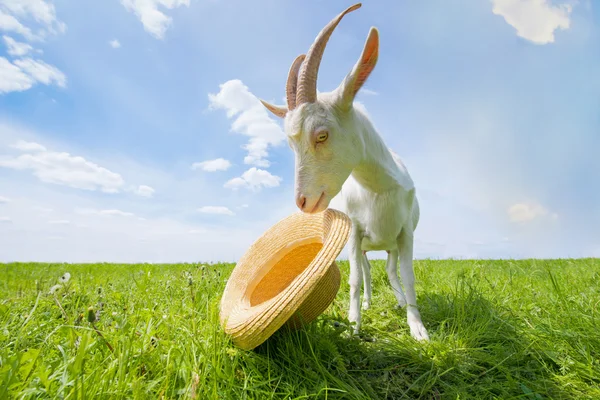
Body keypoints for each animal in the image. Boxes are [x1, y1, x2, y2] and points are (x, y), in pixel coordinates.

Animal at [260, 2, 428, 340]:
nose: (302, 202)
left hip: (390, 245)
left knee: (391, 271)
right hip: (365, 246)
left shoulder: (405, 233)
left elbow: (409, 276)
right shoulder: (355, 233)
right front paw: (353, 327)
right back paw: (368, 304)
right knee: (367, 272)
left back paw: (399, 301)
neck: (378, 189)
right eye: (291, 144)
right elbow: (354, 280)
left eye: (322, 135)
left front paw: (418, 328)